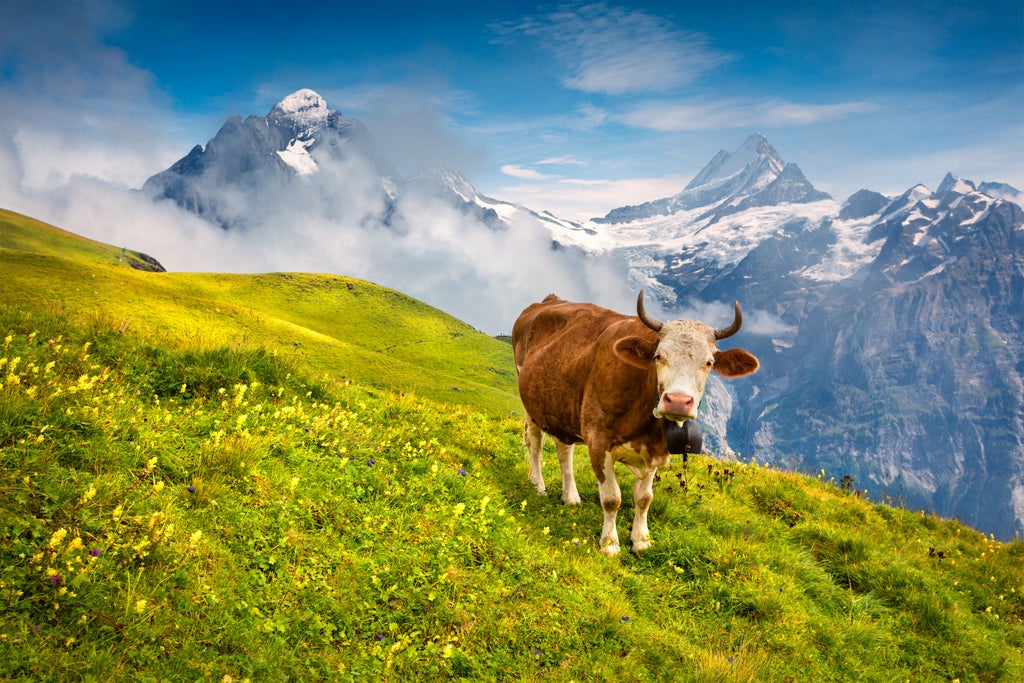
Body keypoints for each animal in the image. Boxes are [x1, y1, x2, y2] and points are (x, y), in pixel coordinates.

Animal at [512, 292, 761, 557]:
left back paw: (570, 496)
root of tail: (549, 299)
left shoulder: (656, 450)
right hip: (530, 404)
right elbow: (612, 498)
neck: (646, 426)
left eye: (709, 362)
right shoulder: (598, 440)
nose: (678, 401)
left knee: (564, 451)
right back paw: (538, 485)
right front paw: (609, 544)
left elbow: (644, 498)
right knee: (535, 444)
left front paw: (641, 540)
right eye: (658, 356)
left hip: (561, 408)